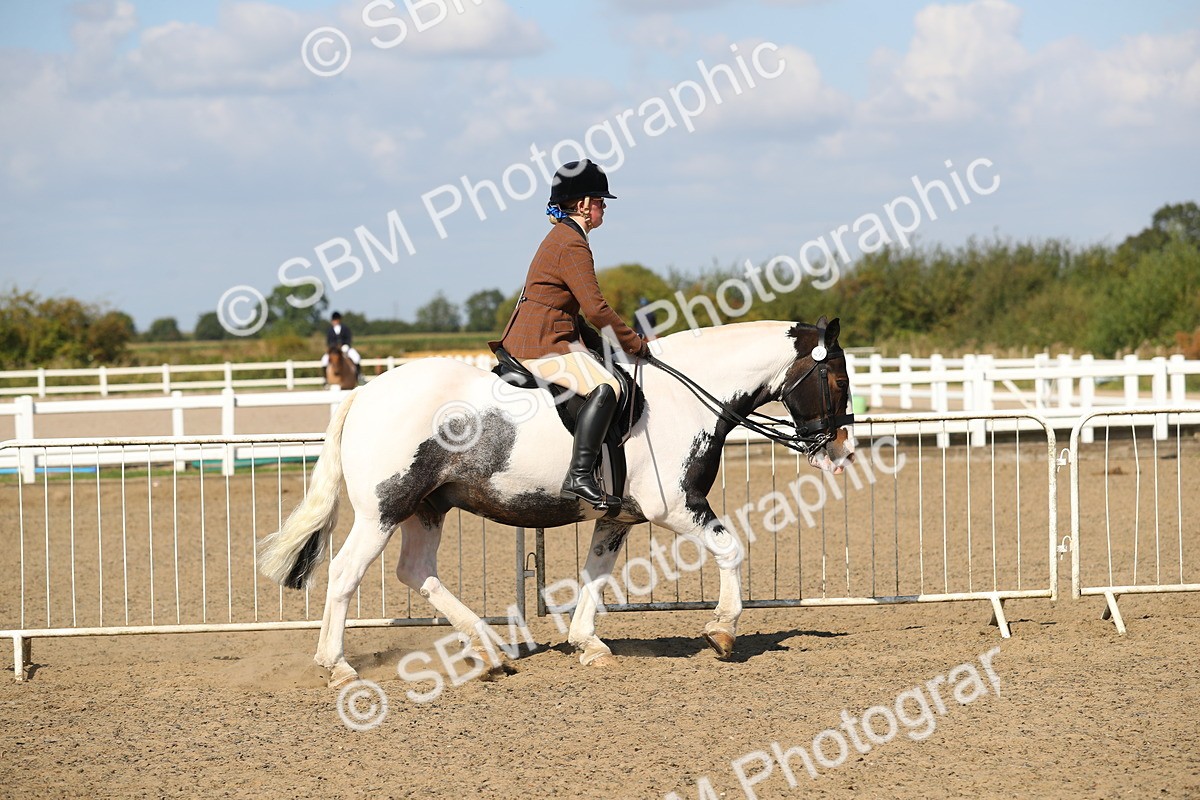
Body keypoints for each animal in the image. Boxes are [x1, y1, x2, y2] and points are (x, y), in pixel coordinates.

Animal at [261, 318, 855, 688]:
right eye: (836, 378)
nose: (841, 452)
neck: (683, 398)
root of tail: (365, 392)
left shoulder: (619, 517)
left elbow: (596, 575)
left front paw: (587, 643)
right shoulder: (676, 507)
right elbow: (731, 549)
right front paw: (724, 630)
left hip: (426, 508)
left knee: (416, 570)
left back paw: (490, 653)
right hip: (383, 510)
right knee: (345, 574)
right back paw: (338, 667)